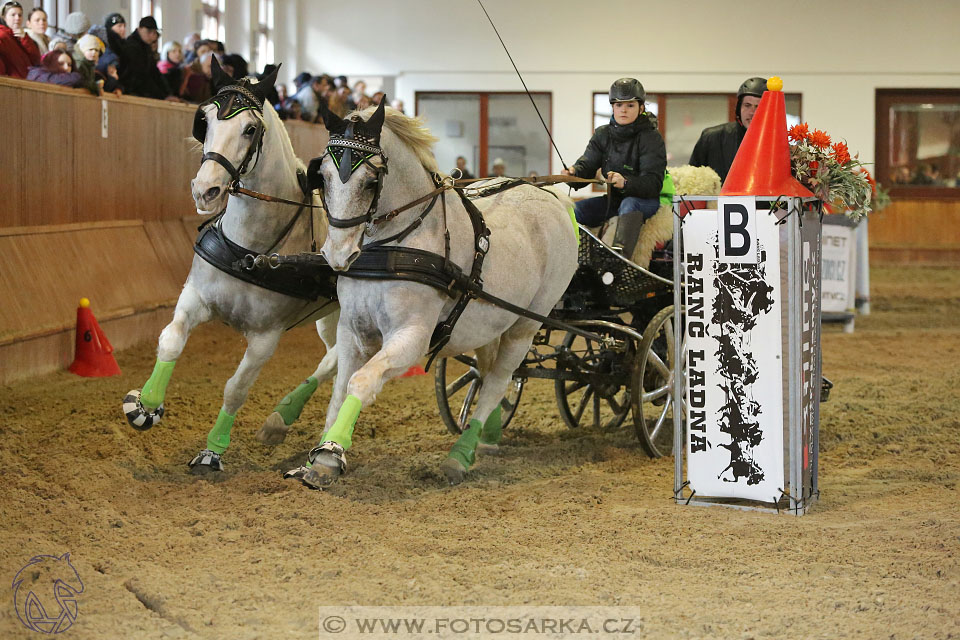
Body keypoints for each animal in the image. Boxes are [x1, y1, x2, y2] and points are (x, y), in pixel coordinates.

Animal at [122, 58, 338, 470]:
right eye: (204, 120)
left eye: (250, 129)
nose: (205, 190)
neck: (249, 249)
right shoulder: (195, 297)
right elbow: (170, 340)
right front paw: (146, 404)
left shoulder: (266, 337)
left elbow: (236, 388)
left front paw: (213, 449)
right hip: (328, 317)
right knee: (333, 357)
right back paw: (281, 420)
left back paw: (279, 420)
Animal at [286, 102, 576, 488]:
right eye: (324, 177)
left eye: (371, 182)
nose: (338, 254)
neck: (398, 245)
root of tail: (553, 198)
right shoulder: (353, 331)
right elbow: (338, 390)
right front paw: (323, 457)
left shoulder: (412, 337)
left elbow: (361, 382)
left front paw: (332, 453)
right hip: (490, 321)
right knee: (486, 372)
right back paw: (487, 436)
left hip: (525, 326)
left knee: (498, 381)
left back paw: (460, 455)